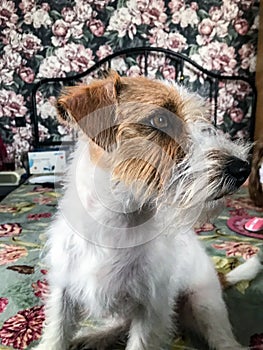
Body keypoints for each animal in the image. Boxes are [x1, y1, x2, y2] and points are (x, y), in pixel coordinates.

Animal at [34, 72, 262, 350]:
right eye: (160, 119)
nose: (243, 168)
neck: (114, 225)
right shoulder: (63, 292)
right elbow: (56, 335)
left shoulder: (151, 309)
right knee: (120, 324)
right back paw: (94, 337)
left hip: (205, 303)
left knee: (223, 339)